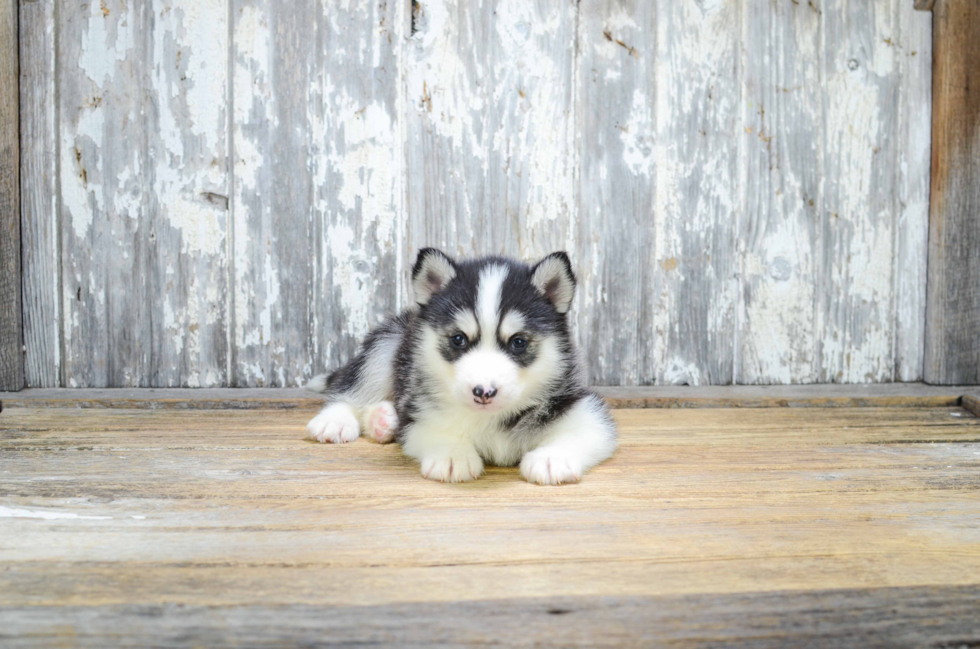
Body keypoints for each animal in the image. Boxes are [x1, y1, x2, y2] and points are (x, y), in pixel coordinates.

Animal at [306, 247, 616, 480]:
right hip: (388, 342)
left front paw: (552, 458)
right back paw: (337, 420)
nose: (483, 392)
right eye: (458, 339)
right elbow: (432, 428)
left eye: (518, 342)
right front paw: (452, 454)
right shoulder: (419, 412)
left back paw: (383, 421)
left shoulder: (584, 407)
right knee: (352, 388)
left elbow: (585, 431)